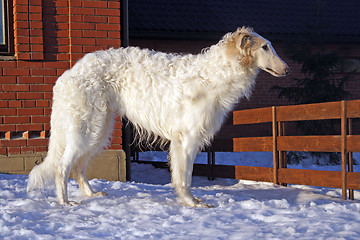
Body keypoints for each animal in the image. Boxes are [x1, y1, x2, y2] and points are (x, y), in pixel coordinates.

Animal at [27, 26, 290, 206]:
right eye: (265, 47)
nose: (287, 69)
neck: (215, 74)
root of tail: (69, 74)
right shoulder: (187, 137)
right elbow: (185, 177)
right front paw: (192, 203)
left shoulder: (186, 139)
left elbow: (182, 174)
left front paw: (190, 201)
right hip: (87, 128)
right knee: (62, 166)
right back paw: (64, 202)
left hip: (98, 129)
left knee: (78, 167)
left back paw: (91, 194)